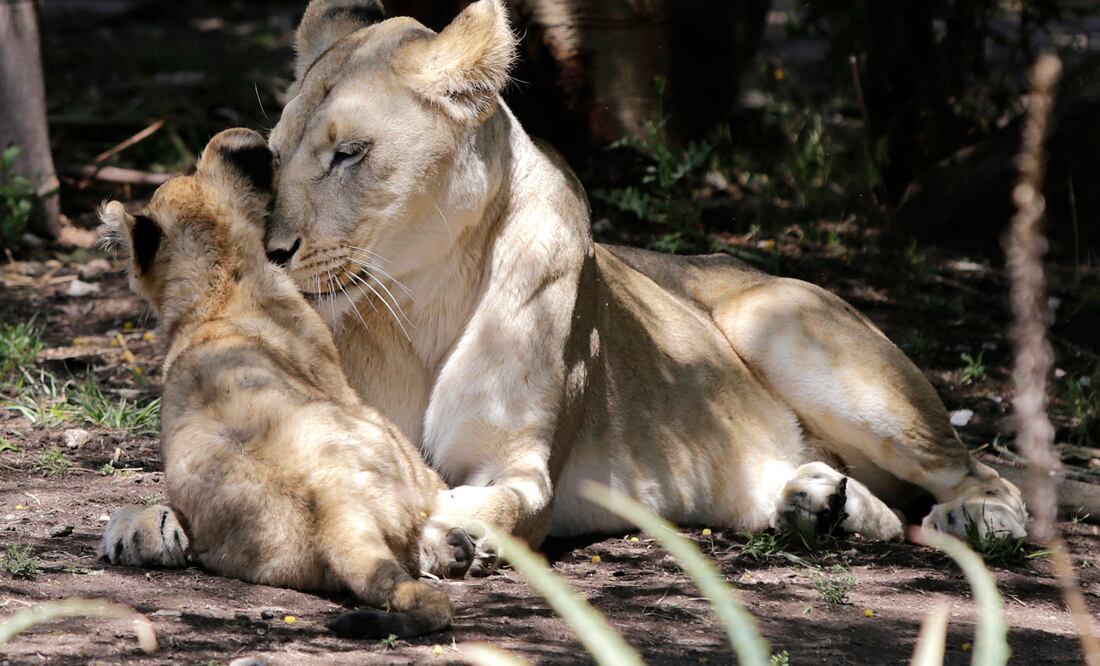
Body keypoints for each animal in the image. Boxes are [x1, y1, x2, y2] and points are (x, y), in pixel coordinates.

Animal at [115, 0, 1095, 579]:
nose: (274, 251)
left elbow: (490, 501)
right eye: (275, 155)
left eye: (349, 153)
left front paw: (449, 534)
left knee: (980, 473)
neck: (422, 294)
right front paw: (146, 521)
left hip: (780, 319)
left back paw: (975, 520)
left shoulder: (522, 467)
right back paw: (818, 505)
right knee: (885, 512)